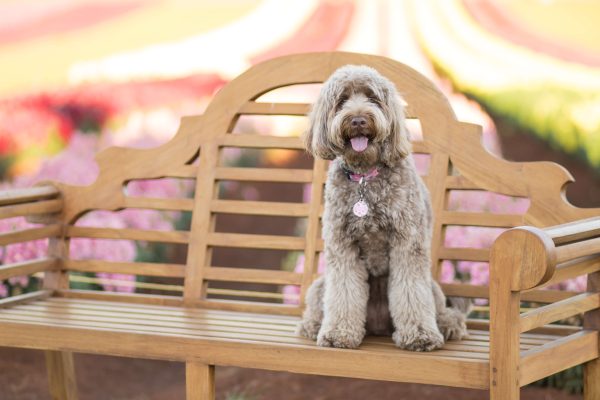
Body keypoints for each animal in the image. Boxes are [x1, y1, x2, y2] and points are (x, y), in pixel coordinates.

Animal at [298, 65, 472, 350]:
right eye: (342, 100)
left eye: (372, 98)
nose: (358, 120)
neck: (365, 177)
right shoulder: (342, 247)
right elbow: (343, 293)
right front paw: (338, 333)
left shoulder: (408, 243)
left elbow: (412, 293)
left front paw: (420, 335)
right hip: (320, 284)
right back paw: (311, 326)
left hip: (433, 287)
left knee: (443, 309)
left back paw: (448, 326)